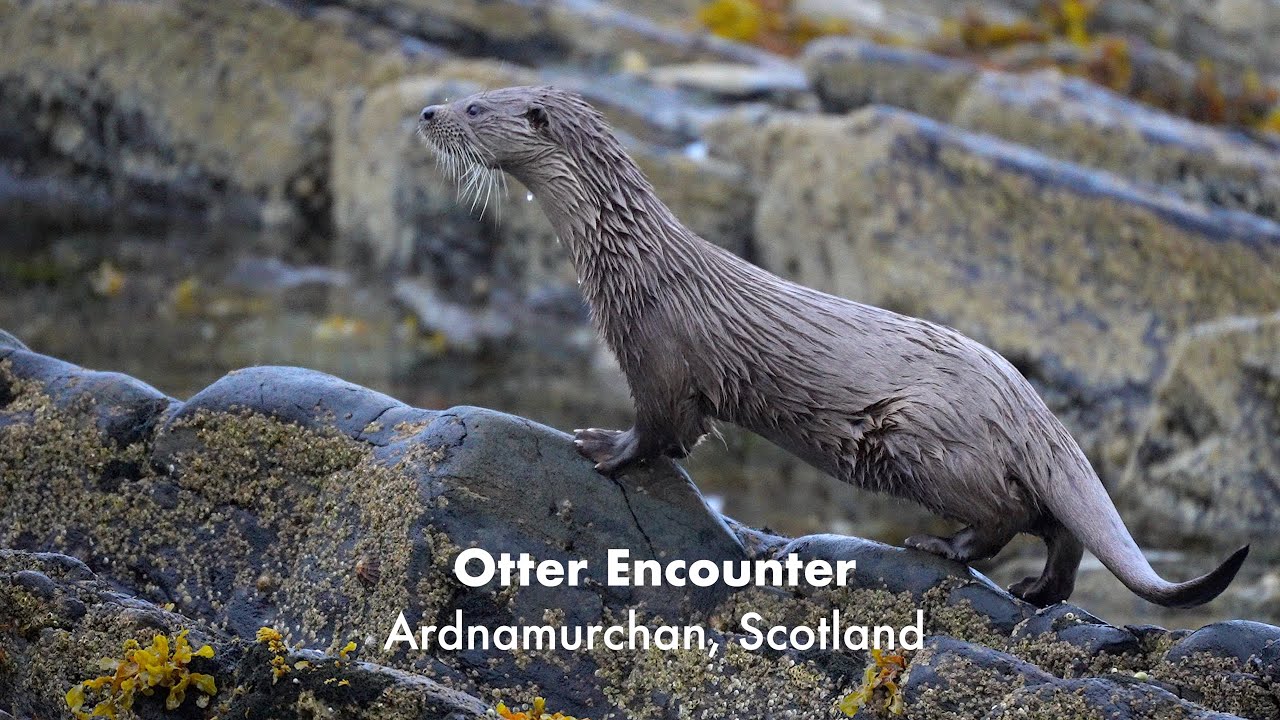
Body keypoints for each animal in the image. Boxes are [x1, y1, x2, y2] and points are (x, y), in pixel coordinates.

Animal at [417, 86, 1248, 608]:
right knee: (1059, 525)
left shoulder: (658, 356)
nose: (426, 109)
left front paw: (602, 446)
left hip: (925, 439)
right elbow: (683, 437)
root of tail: (1031, 408)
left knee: (1006, 512)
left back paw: (942, 548)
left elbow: (657, 430)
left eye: (474, 106)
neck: (634, 264)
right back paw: (1040, 592)